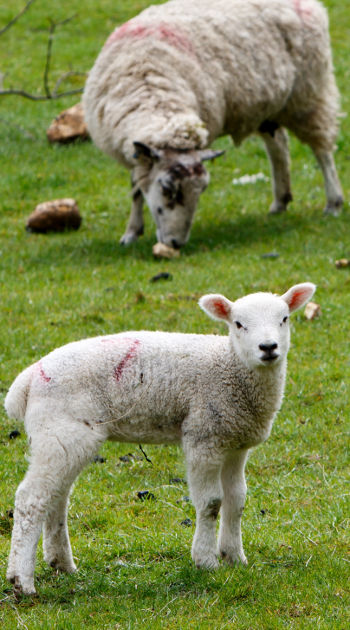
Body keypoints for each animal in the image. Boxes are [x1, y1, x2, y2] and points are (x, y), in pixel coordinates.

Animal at [3, 282, 314, 596]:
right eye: (238, 324)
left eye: (284, 319)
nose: (268, 347)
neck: (230, 367)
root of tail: (29, 379)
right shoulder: (204, 435)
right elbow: (211, 502)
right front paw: (206, 561)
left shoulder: (235, 442)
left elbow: (236, 500)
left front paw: (234, 557)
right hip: (60, 430)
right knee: (31, 499)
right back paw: (21, 580)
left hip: (63, 439)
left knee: (56, 496)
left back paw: (62, 563)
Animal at [83, 0, 344, 252]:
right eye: (167, 188)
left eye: (202, 190)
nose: (176, 243)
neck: (151, 86)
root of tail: (314, 6)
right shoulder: (137, 154)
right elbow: (137, 189)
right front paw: (131, 233)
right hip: (269, 105)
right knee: (278, 144)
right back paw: (280, 201)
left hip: (309, 93)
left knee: (322, 150)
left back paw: (334, 202)